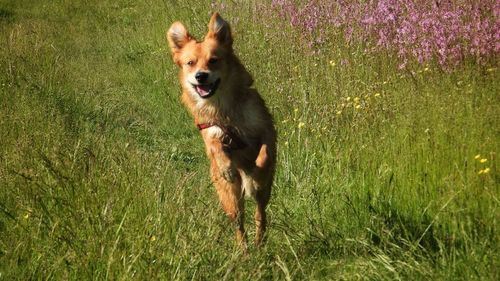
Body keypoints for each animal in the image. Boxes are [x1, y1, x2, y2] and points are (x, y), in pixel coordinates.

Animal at [167, 13, 278, 247]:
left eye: (214, 60)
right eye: (190, 63)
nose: (200, 76)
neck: (223, 108)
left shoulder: (266, 129)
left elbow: (264, 151)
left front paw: (258, 168)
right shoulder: (211, 133)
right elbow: (216, 146)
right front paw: (226, 166)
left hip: (265, 192)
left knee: (260, 213)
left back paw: (259, 239)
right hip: (230, 198)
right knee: (239, 224)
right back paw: (244, 249)